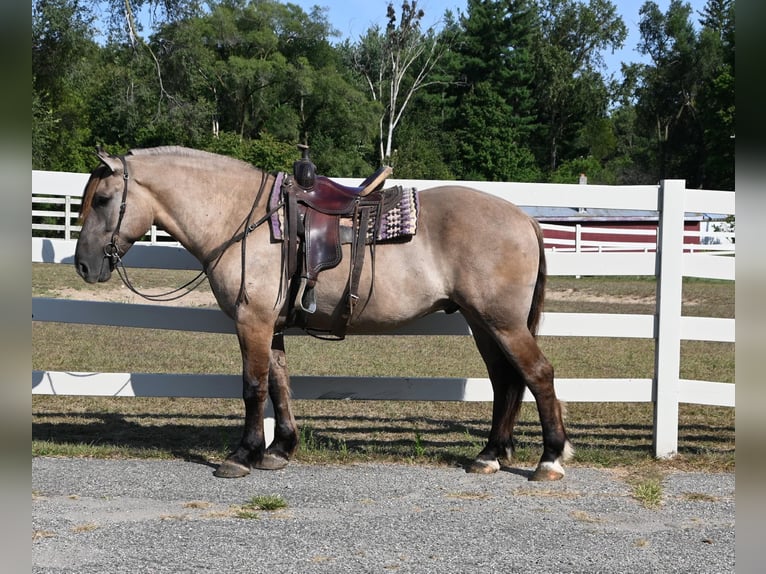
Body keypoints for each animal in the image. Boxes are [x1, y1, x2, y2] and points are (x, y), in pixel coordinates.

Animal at [74, 145, 573, 481]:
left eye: (102, 200)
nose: (83, 265)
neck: (243, 218)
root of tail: (525, 218)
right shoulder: (269, 325)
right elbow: (279, 384)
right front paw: (278, 450)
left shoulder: (252, 321)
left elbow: (253, 387)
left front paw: (242, 455)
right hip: (483, 323)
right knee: (505, 382)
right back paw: (490, 454)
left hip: (501, 323)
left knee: (538, 374)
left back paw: (549, 459)